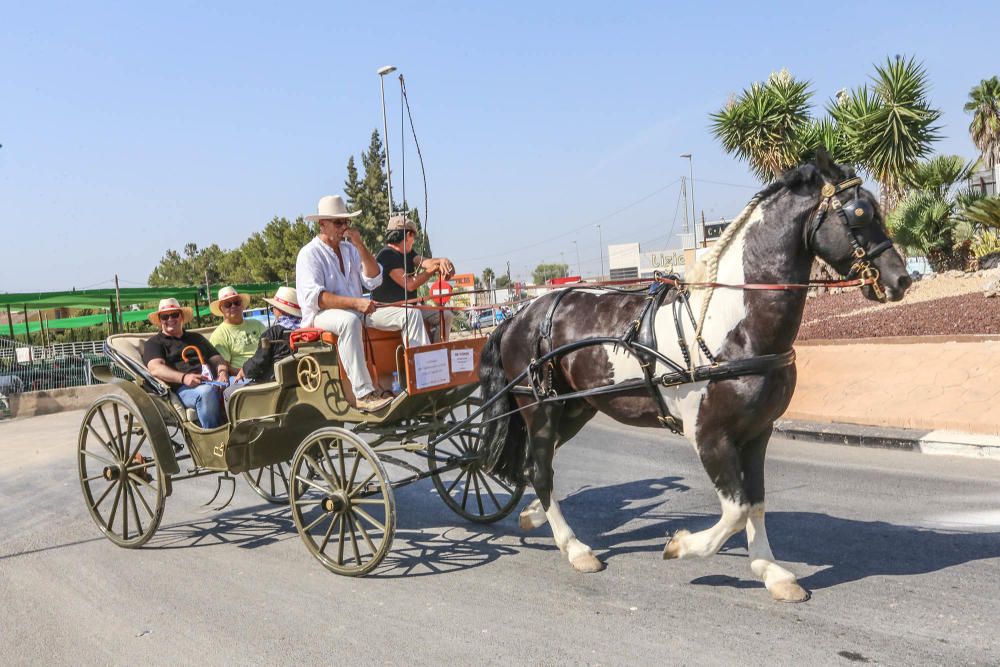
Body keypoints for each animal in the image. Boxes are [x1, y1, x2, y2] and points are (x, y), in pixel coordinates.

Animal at [480, 158, 912, 604]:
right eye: (859, 213)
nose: (901, 279)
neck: (731, 326)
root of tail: (519, 314)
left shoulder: (757, 433)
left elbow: (755, 503)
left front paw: (771, 571)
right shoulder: (709, 436)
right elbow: (736, 510)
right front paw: (681, 546)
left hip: (575, 408)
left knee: (534, 466)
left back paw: (534, 516)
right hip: (540, 410)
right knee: (541, 470)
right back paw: (575, 547)